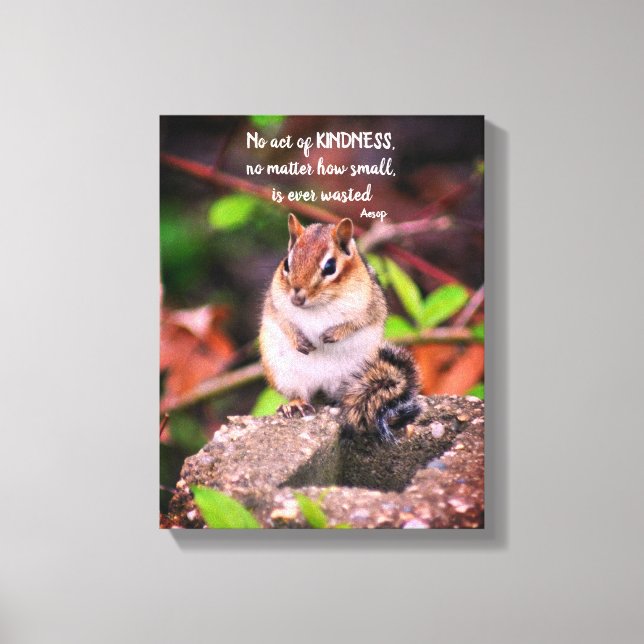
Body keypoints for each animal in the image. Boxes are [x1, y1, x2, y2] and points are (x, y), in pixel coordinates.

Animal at [259, 214, 420, 442]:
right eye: (287, 264)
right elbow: (284, 322)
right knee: (299, 393)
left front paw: (334, 334)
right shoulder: (274, 304)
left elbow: (358, 321)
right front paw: (299, 340)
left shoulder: (371, 306)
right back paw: (296, 405)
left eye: (330, 267)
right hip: (284, 373)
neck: (317, 306)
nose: (297, 298)